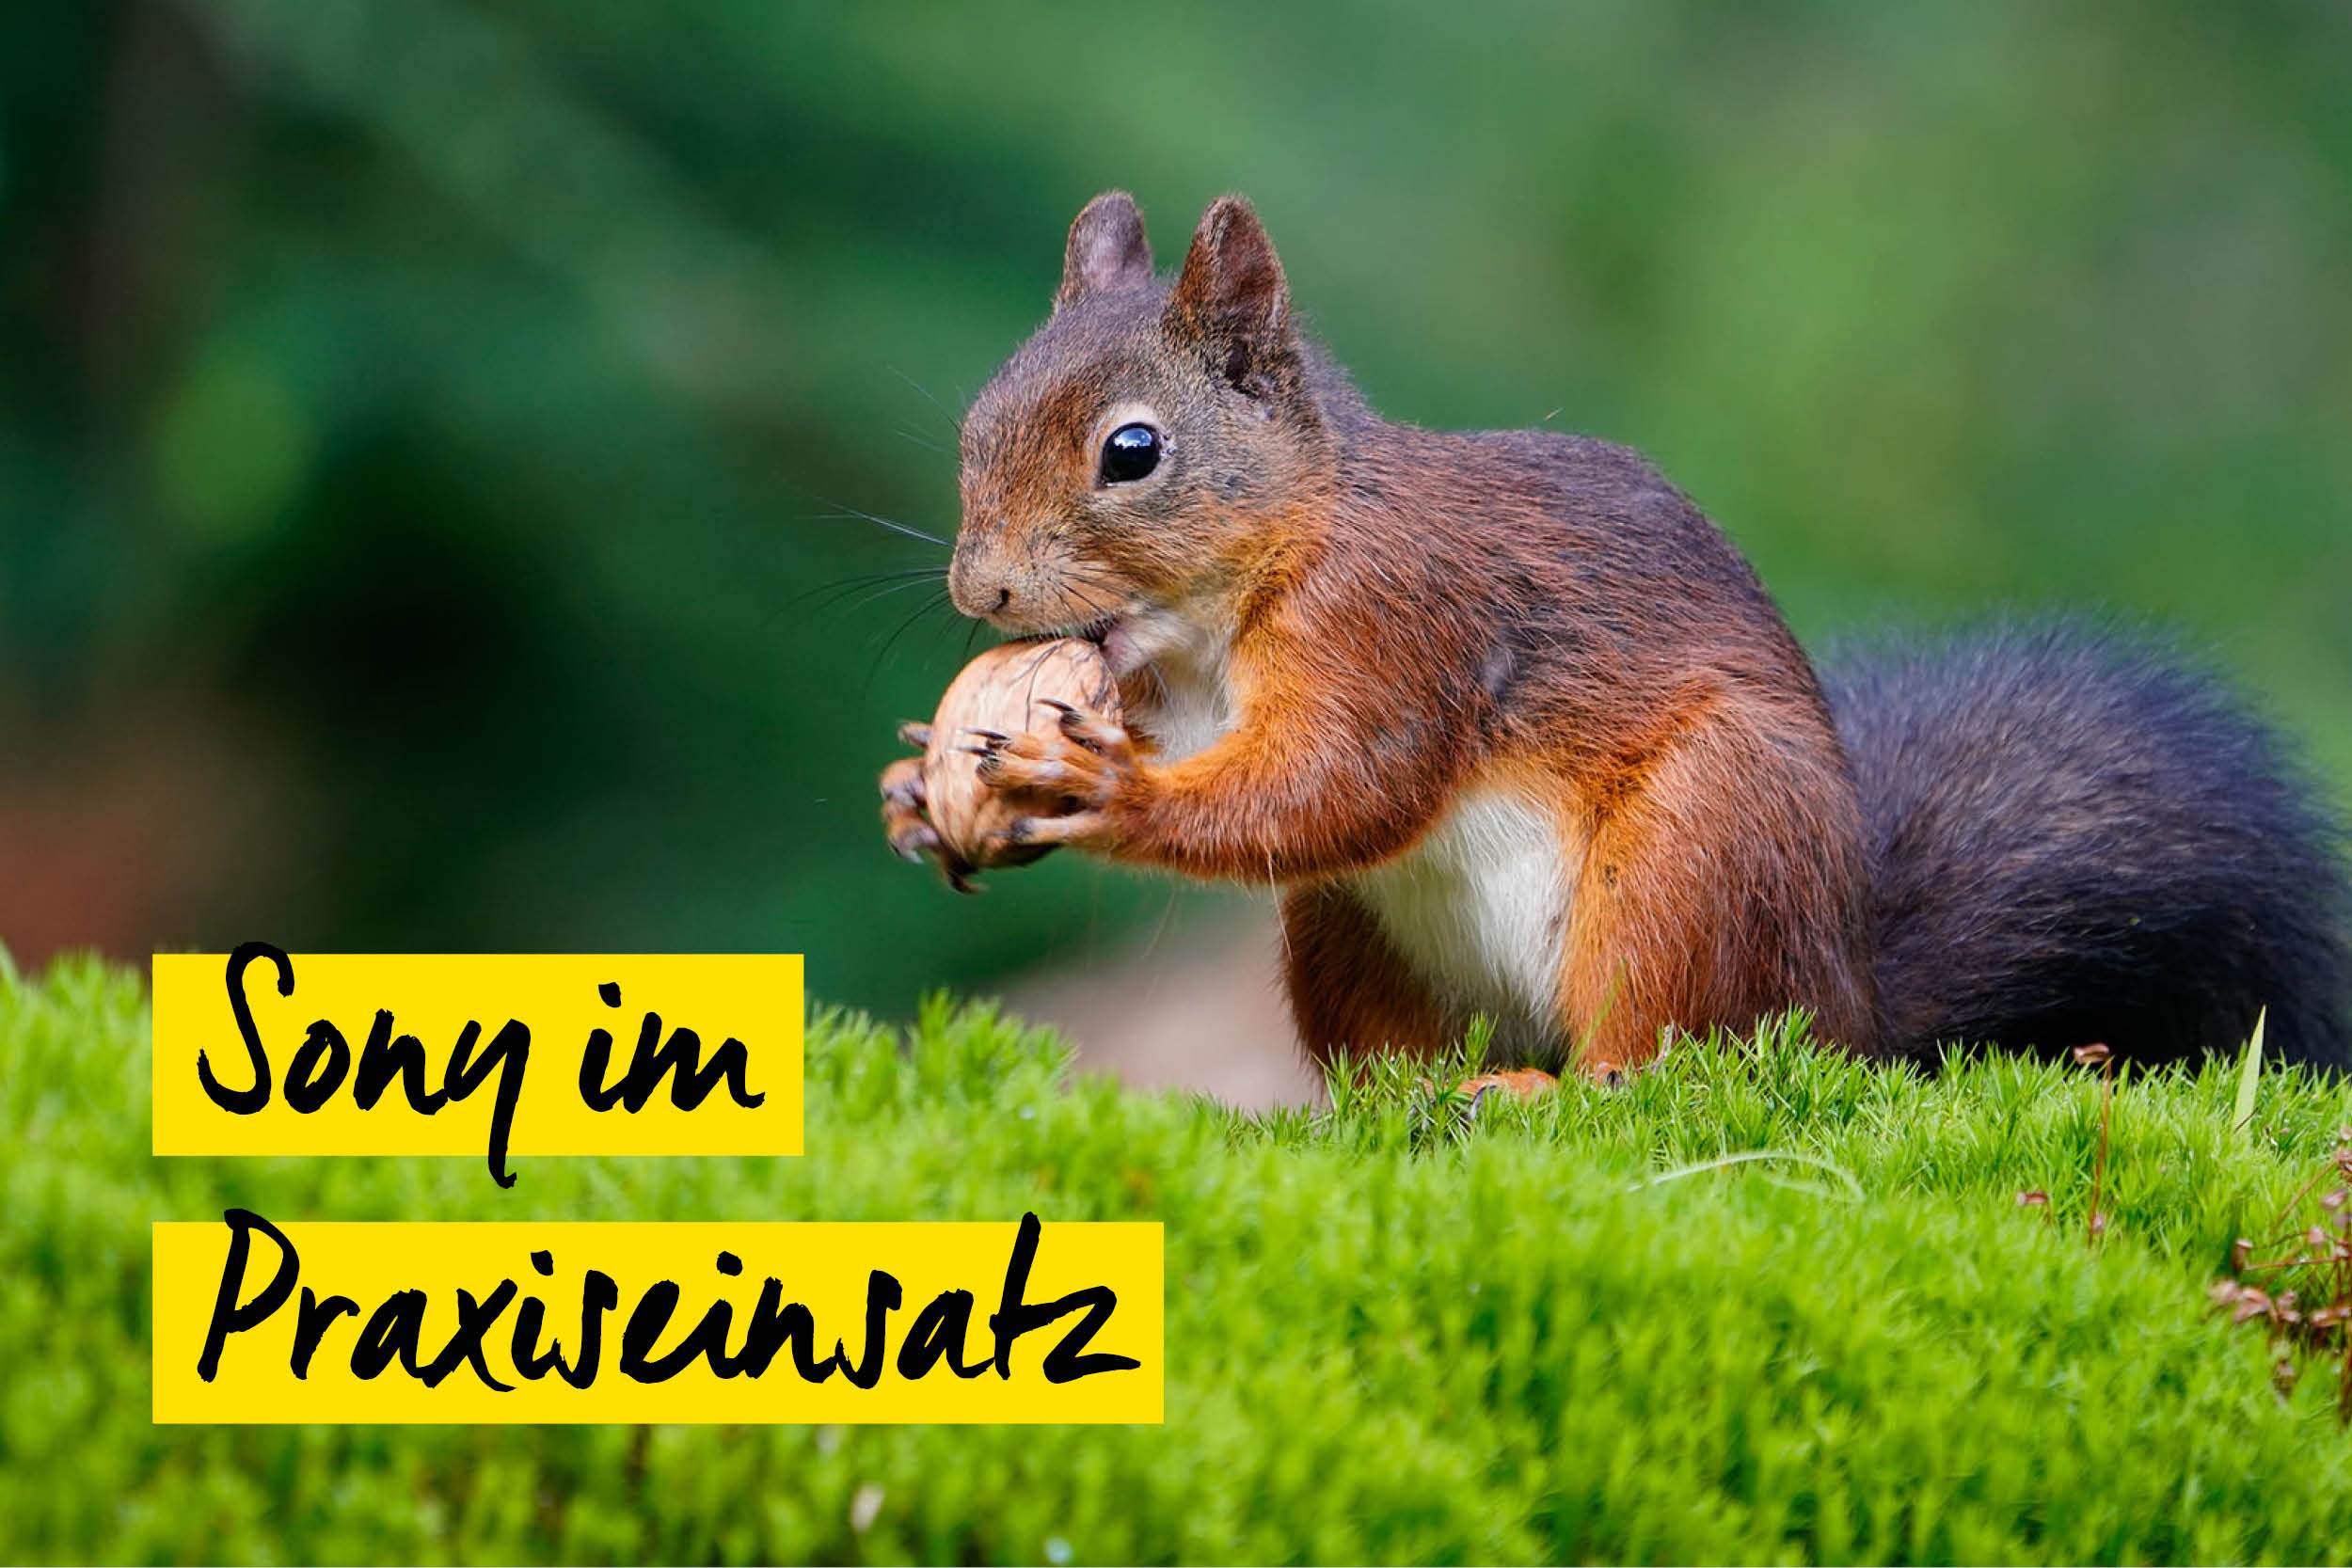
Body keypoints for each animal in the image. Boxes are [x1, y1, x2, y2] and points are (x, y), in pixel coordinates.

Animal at [880, 190, 2352, 1078]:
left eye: (1133, 451)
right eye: (978, 416)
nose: (980, 592)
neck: (1231, 600)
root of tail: (1847, 1007)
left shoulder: (1402, 622)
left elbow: (1341, 781)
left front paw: (1099, 787)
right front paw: (913, 784)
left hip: (1701, 850)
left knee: (1656, 1070)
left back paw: (1553, 1092)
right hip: (1351, 926)